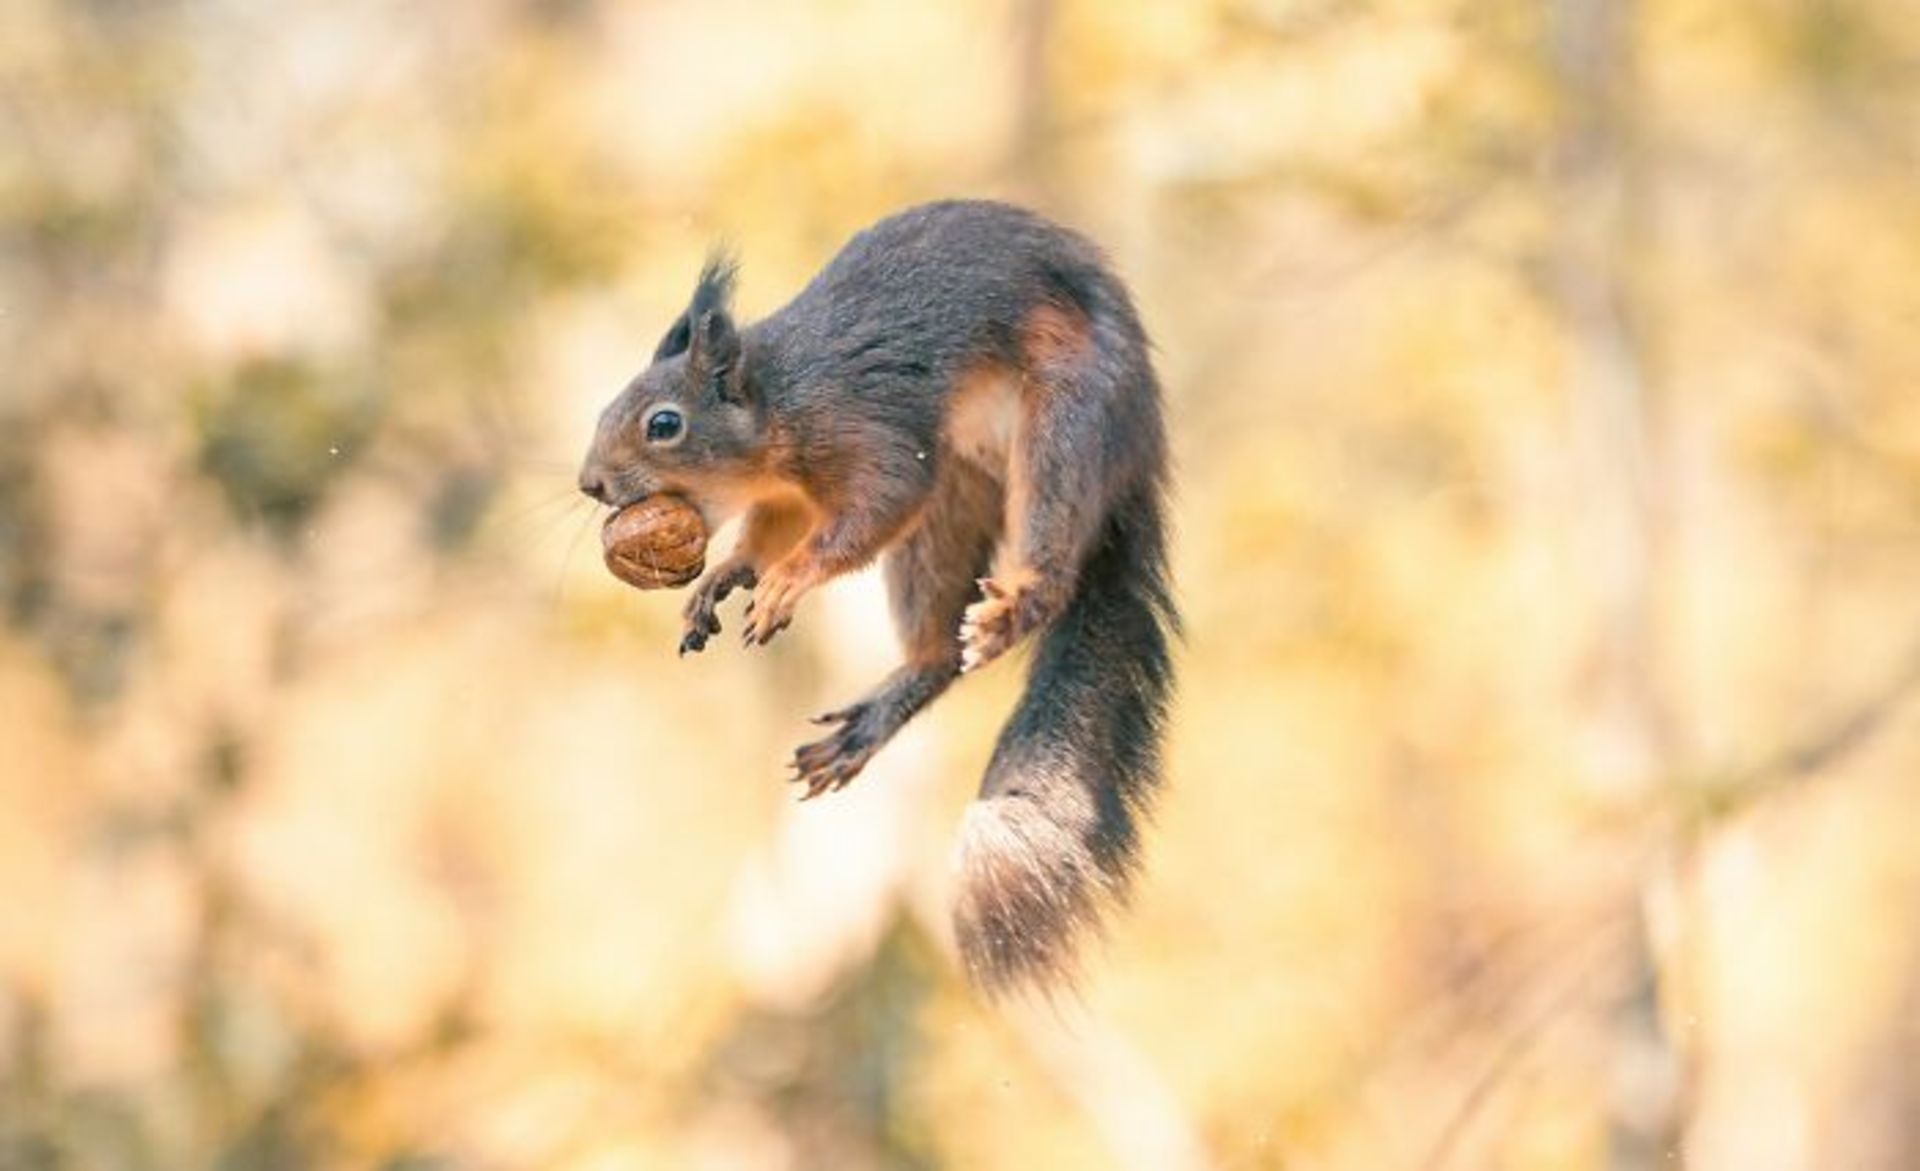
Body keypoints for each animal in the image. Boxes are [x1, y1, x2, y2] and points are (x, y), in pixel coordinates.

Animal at [568, 202, 1167, 990]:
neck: (774, 404)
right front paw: (725, 576)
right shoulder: (785, 496)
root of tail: (1139, 440)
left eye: (664, 423)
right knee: (938, 654)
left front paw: (788, 581)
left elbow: (876, 504)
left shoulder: (864, 429)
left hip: (1067, 420)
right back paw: (875, 715)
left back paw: (1012, 608)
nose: (590, 483)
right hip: (956, 496)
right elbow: (768, 535)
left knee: (1052, 556)